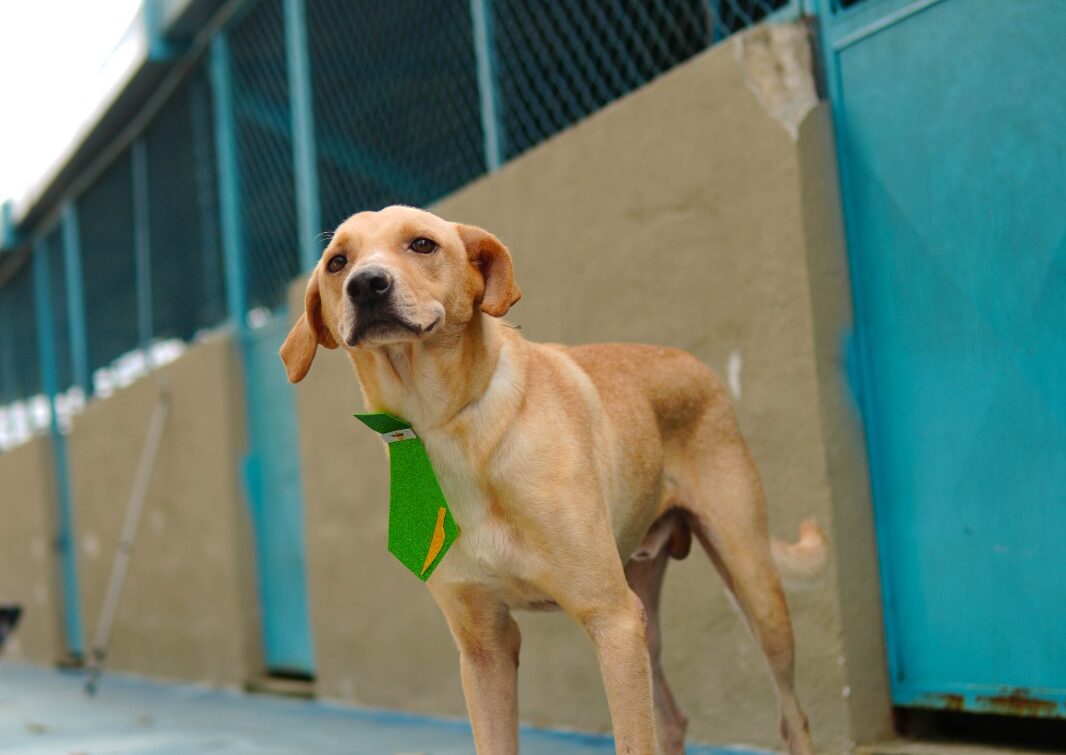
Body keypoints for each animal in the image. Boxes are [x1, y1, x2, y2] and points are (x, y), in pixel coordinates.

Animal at [280, 205, 826, 755]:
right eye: (337, 262)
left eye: (422, 245)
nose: (366, 284)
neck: (450, 428)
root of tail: (695, 363)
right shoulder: (485, 646)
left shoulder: (612, 620)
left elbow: (632, 740)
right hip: (644, 610)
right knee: (672, 720)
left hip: (753, 588)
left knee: (792, 716)